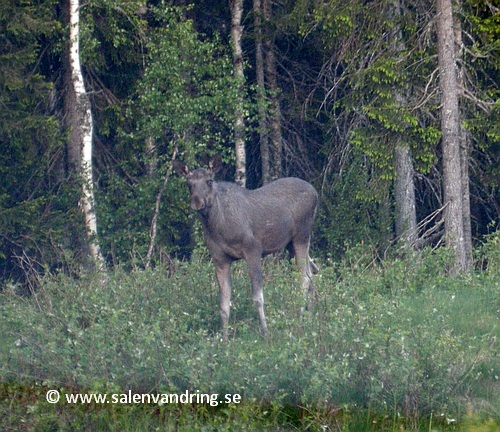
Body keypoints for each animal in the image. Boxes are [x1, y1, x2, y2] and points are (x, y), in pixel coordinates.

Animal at [174, 155, 318, 340]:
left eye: (209, 181)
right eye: (189, 183)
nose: (197, 202)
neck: (218, 227)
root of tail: (315, 192)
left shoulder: (253, 250)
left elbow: (258, 298)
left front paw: (266, 333)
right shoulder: (220, 259)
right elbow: (224, 304)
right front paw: (225, 340)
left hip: (302, 235)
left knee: (305, 276)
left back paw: (300, 320)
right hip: (290, 244)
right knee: (313, 271)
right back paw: (311, 317)